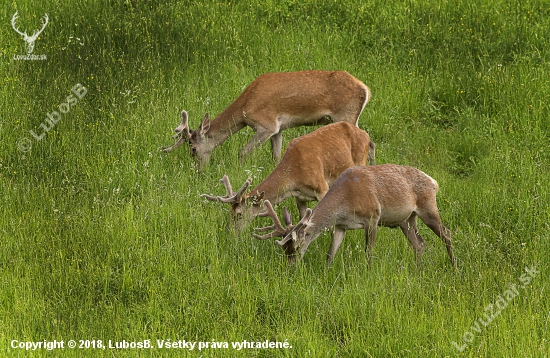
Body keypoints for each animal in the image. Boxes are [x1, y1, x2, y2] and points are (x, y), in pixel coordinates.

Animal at [162, 71, 374, 171]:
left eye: (193, 149)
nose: (199, 170)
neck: (244, 109)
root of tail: (365, 89)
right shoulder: (278, 129)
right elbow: (276, 156)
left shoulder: (266, 124)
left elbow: (243, 151)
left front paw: (240, 171)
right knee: (370, 142)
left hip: (346, 114)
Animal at [201, 121, 378, 231]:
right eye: (228, 213)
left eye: (238, 214)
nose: (229, 233)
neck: (293, 176)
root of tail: (367, 136)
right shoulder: (299, 197)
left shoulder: (322, 187)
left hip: (360, 161)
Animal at [256, 164, 460, 268]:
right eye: (285, 249)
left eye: (296, 247)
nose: (290, 267)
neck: (346, 200)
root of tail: (434, 182)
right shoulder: (340, 225)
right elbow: (330, 253)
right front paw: (326, 273)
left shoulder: (373, 217)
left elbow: (368, 252)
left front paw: (368, 273)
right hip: (407, 220)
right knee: (420, 244)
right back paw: (419, 270)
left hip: (428, 207)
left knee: (447, 234)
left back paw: (455, 268)